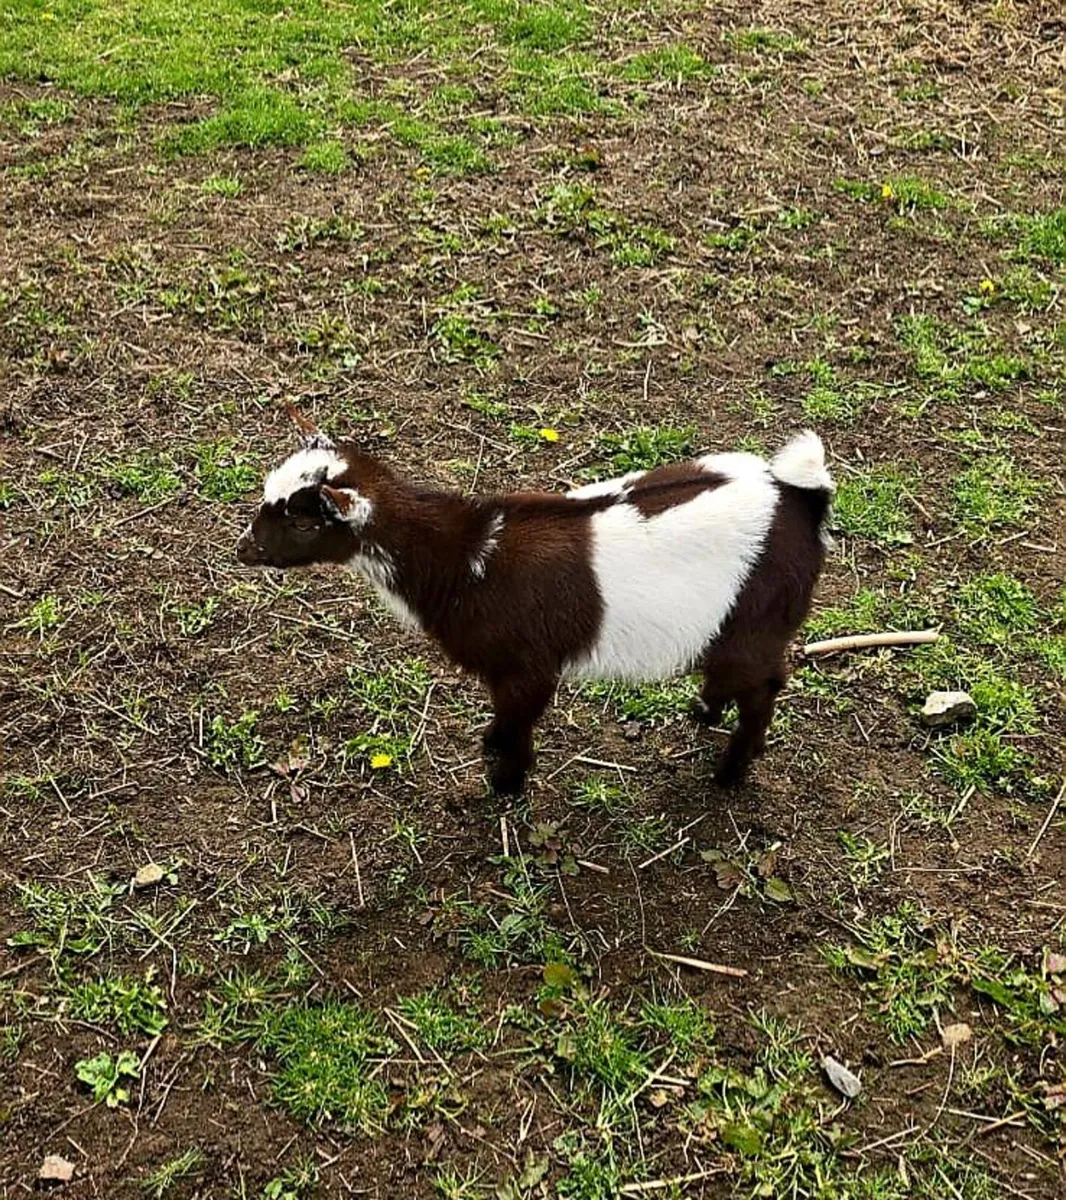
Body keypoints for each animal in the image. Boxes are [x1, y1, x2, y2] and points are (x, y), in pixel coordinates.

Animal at [237, 407, 833, 795]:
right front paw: (494, 752)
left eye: (302, 520)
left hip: (759, 617)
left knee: (764, 683)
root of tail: (800, 497)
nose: (244, 549)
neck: (467, 557)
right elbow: (504, 717)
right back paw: (706, 710)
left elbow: (519, 717)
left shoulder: (527, 665)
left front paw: (506, 781)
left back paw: (730, 771)